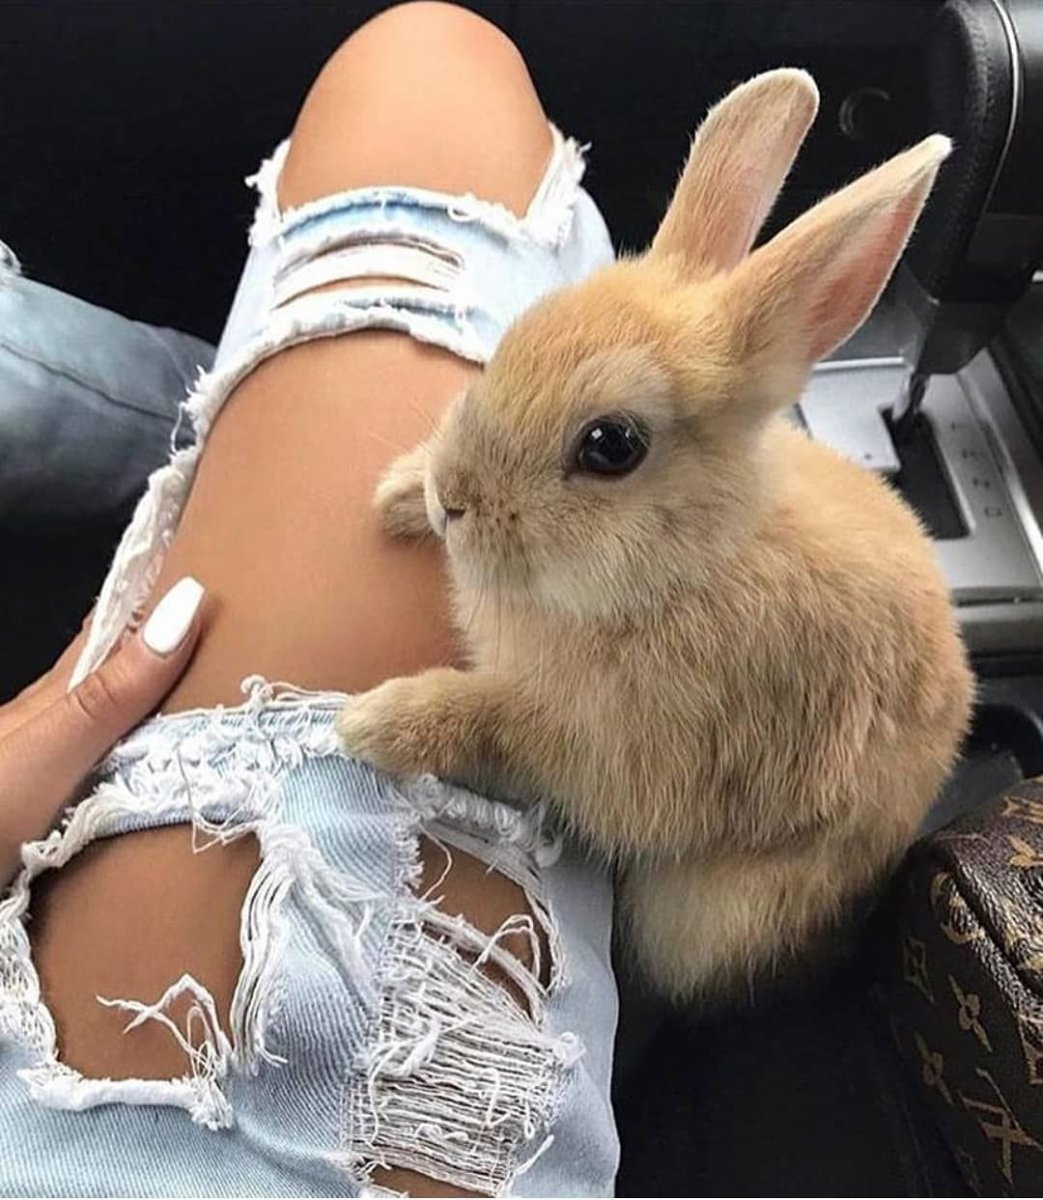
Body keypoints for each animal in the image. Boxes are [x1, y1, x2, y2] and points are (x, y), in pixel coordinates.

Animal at [336, 68, 974, 1001]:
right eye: (514, 341)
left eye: (611, 446)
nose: (452, 500)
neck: (688, 562)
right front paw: (395, 494)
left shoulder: (612, 751)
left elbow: (499, 725)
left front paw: (377, 723)